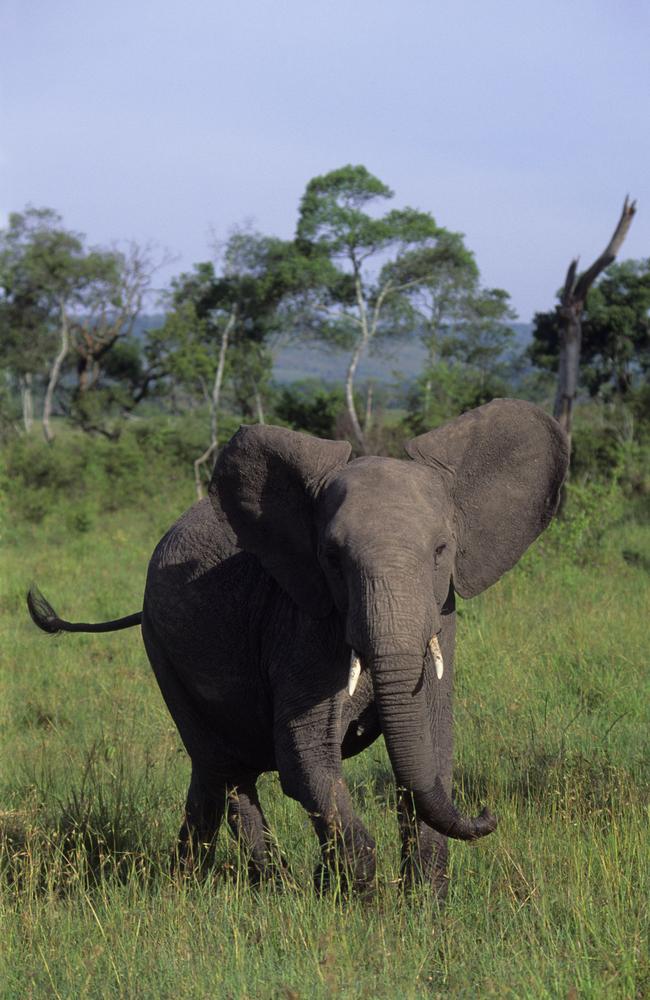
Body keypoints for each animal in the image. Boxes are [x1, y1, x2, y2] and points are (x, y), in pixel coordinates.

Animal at [27, 394, 568, 896]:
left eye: (440, 551)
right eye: (332, 558)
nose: (487, 814)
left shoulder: (442, 611)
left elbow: (431, 745)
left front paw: (424, 906)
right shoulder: (301, 619)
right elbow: (305, 753)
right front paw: (357, 899)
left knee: (217, 769)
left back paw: (204, 879)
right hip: (161, 648)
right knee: (222, 765)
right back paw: (256, 885)